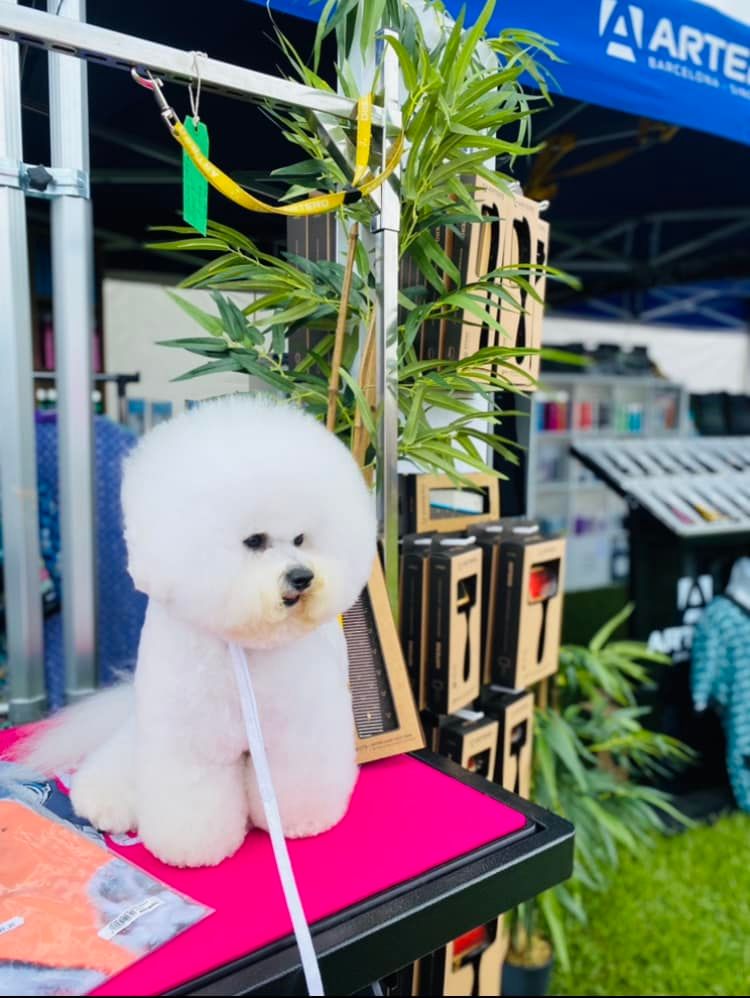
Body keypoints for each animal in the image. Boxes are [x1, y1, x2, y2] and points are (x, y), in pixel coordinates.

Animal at [21, 396, 378, 868]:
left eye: (302, 539)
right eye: (255, 540)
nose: (303, 577)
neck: (245, 644)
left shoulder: (298, 734)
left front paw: (300, 822)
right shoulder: (188, 744)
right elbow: (191, 800)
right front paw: (191, 849)